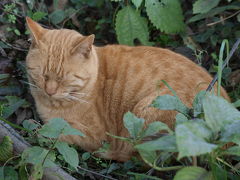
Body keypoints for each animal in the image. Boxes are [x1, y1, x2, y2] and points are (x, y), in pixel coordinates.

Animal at [25, 17, 230, 162]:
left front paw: (39, 131)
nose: (50, 90)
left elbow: (58, 133)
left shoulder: (95, 135)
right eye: (43, 76)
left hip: (147, 110)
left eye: (64, 78)